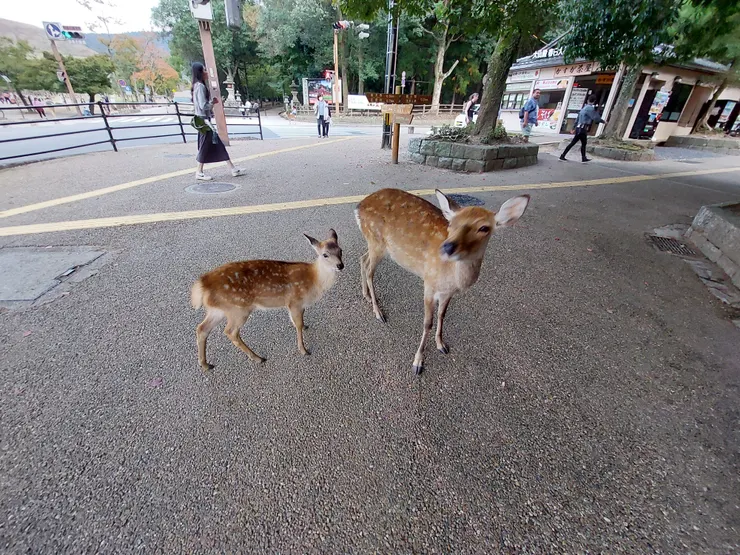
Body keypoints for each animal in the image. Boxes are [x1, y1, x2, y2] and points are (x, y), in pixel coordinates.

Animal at [190, 229, 344, 370]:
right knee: (230, 332)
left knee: (201, 328)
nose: (340, 265)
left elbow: (299, 321)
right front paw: (303, 350)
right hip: (238, 308)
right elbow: (298, 324)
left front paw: (305, 327)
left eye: (340, 251)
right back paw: (258, 358)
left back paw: (205, 364)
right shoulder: (294, 301)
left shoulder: (298, 304)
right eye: (325, 254)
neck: (313, 279)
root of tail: (202, 285)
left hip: (219, 309)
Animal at [355, 189, 529, 375]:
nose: (447, 247)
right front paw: (418, 362)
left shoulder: (448, 292)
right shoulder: (429, 283)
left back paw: (366, 296)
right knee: (369, 270)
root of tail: (359, 207)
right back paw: (378, 312)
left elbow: (442, 314)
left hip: (375, 244)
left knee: (363, 260)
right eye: (451, 223)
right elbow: (427, 323)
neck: (454, 278)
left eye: (484, 228)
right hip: (376, 241)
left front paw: (441, 344)